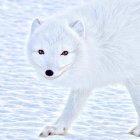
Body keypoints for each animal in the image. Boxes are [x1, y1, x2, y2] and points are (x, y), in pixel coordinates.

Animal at [27, 0, 140, 138]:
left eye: (65, 52)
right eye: (41, 51)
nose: (49, 72)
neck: (99, 44)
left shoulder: (134, 78)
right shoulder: (86, 80)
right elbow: (71, 107)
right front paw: (57, 128)